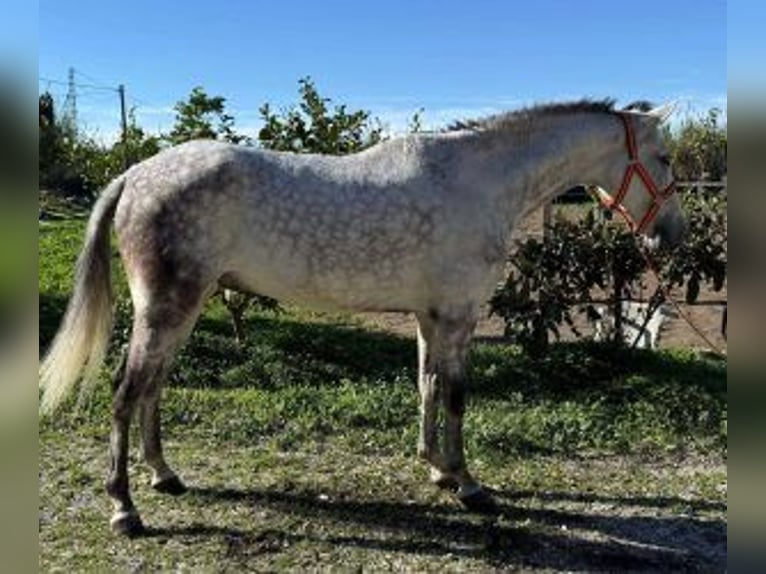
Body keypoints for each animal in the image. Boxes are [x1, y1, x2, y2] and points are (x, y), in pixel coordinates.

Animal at [39, 99, 685, 536]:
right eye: (664, 157)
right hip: (165, 309)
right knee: (126, 393)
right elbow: (455, 395)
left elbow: (427, 386)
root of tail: (134, 175)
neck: (479, 180)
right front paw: (468, 484)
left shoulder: (432, 317)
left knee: (153, 389)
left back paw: (164, 476)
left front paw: (436, 469)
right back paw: (125, 507)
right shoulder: (459, 317)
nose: (672, 236)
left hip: (184, 310)